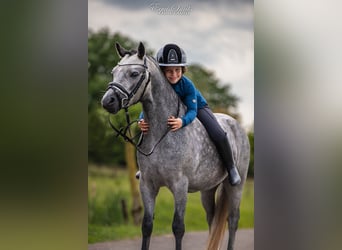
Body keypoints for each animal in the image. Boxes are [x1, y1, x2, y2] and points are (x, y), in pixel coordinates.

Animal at [100, 42, 250, 249]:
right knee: (212, 219)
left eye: (134, 74)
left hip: (236, 187)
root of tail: (237, 125)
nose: (108, 101)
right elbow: (147, 226)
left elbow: (178, 228)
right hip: (208, 188)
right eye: (114, 72)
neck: (161, 133)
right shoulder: (147, 185)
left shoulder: (180, 186)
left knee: (233, 220)